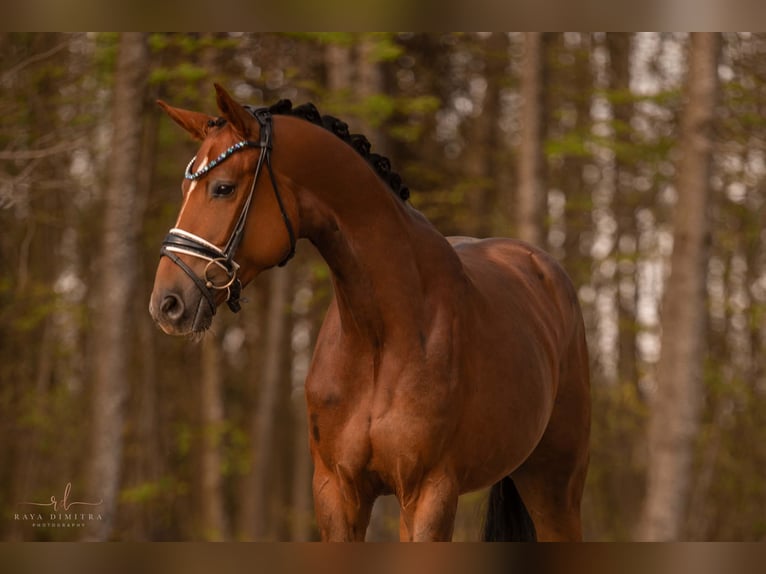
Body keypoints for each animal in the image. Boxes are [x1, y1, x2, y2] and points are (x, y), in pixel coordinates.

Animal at [150, 83, 592, 544]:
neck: (381, 337)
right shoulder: (337, 492)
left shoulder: (428, 494)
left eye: (222, 188)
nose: (168, 302)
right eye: (184, 190)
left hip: (555, 486)